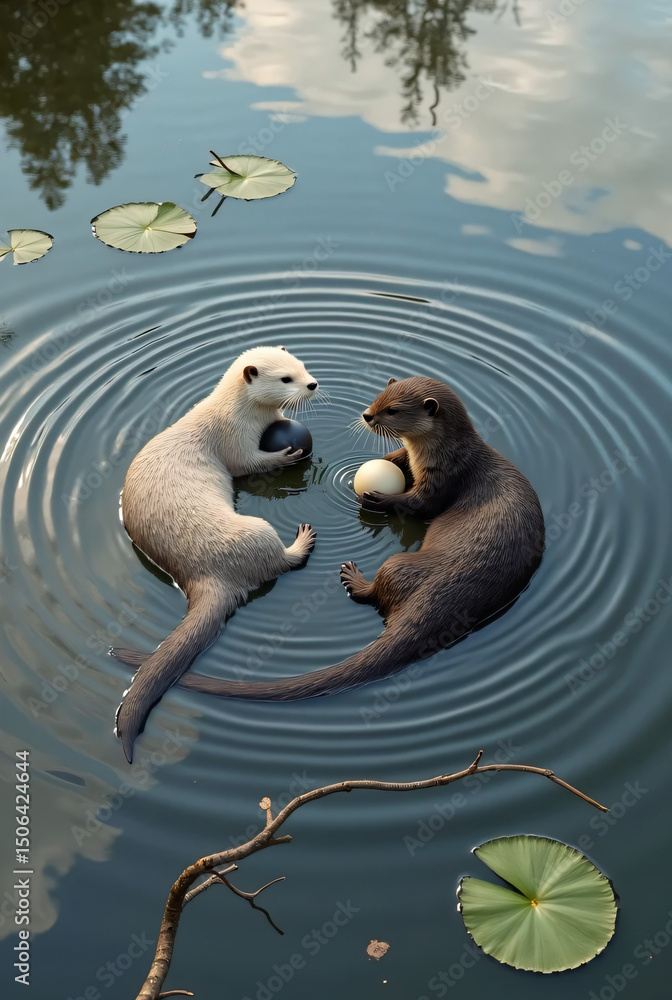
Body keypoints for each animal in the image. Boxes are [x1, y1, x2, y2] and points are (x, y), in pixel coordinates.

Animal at [112, 346, 319, 761]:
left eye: (302, 366)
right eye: (286, 378)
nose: (313, 384)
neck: (234, 414)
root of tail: (204, 577)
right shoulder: (235, 439)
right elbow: (246, 463)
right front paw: (285, 455)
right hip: (255, 531)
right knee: (282, 562)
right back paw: (301, 541)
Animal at [112, 376, 545, 709]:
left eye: (393, 410)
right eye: (378, 398)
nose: (367, 415)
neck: (445, 452)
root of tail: (449, 598)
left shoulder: (444, 478)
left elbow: (422, 503)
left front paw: (379, 497)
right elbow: (400, 461)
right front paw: (390, 459)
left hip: (400, 564)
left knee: (377, 590)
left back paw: (352, 576)